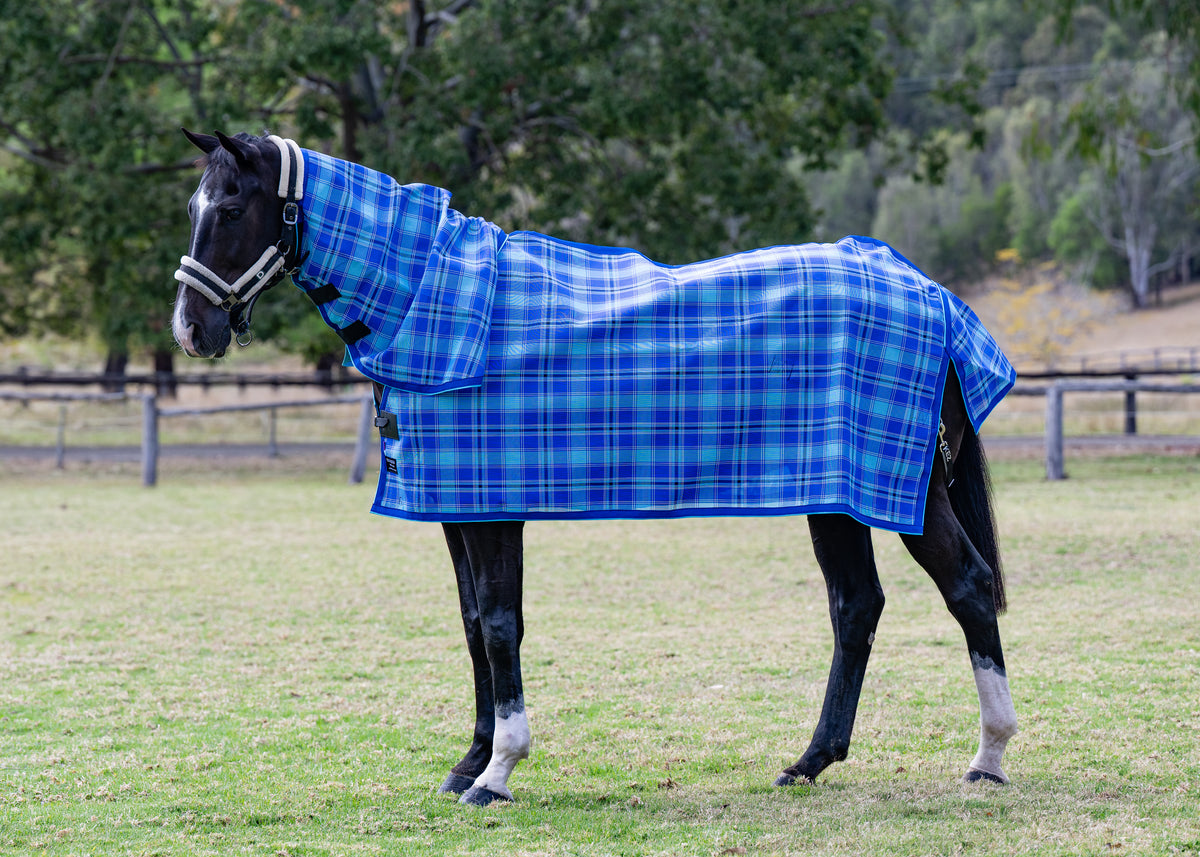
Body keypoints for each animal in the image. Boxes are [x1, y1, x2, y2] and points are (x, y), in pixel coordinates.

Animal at [170, 130, 1019, 807]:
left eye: (233, 210)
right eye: (194, 207)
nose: (190, 330)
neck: (435, 306)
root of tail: (927, 291)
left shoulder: (492, 506)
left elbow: (501, 624)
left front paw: (498, 772)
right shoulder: (455, 504)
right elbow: (473, 624)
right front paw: (469, 760)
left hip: (900, 489)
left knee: (966, 587)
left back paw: (989, 756)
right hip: (837, 493)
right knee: (856, 606)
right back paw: (810, 761)